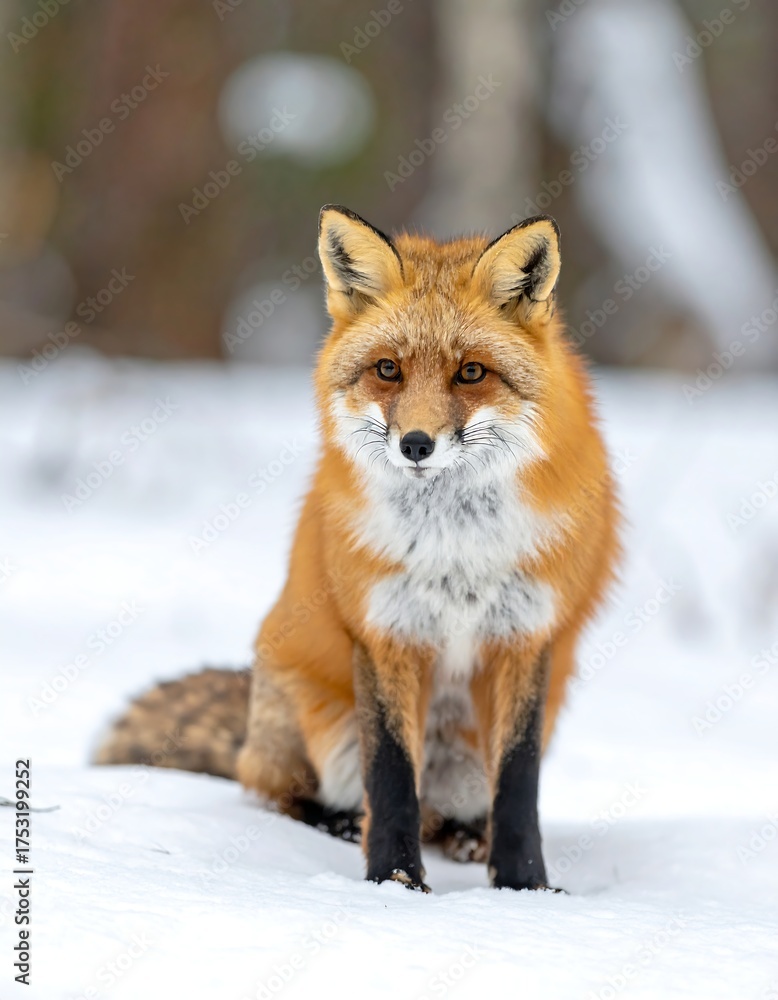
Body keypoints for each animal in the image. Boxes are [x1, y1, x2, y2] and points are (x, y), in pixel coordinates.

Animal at [96, 205, 620, 892]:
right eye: (388, 369)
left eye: (471, 372)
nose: (417, 444)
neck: (455, 550)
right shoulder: (385, 629)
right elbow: (392, 774)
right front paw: (394, 883)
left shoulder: (526, 635)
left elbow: (519, 780)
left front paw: (523, 886)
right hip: (318, 727)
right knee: (273, 790)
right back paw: (339, 823)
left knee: (448, 812)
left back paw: (465, 837)